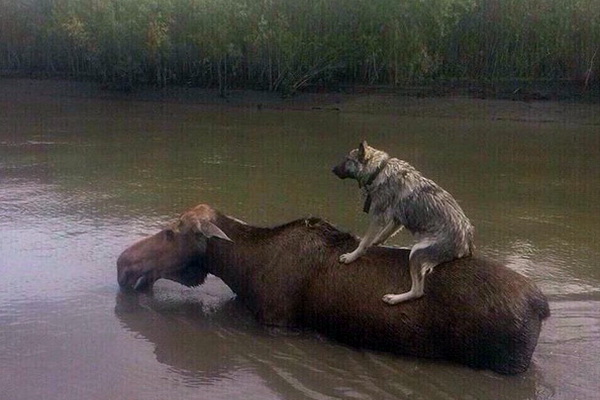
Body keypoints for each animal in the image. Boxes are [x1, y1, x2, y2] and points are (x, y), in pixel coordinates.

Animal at [332, 141, 474, 305]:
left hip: (416, 253)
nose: (333, 170)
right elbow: (381, 235)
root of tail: (467, 244)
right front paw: (375, 242)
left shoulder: (378, 217)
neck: (378, 170)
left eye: (347, 160)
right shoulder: (395, 220)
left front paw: (351, 256)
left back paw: (394, 298)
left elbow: (364, 243)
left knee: (418, 292)